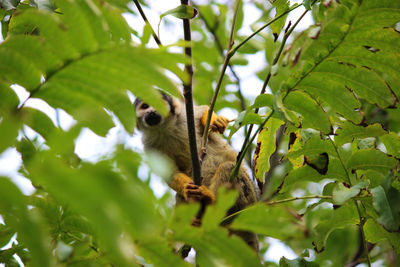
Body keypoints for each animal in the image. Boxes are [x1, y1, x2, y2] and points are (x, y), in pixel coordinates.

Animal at [135, 92, 260, 251]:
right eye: (144, 106)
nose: (151, 112)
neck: (164, 128)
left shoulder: (184, 116)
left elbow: (203, 110)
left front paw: (215, 121)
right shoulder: (148, 144)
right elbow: (170, 174)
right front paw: (186, 186)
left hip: (248, 198)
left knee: (229, 167)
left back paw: (211, 200)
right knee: (180, 196)